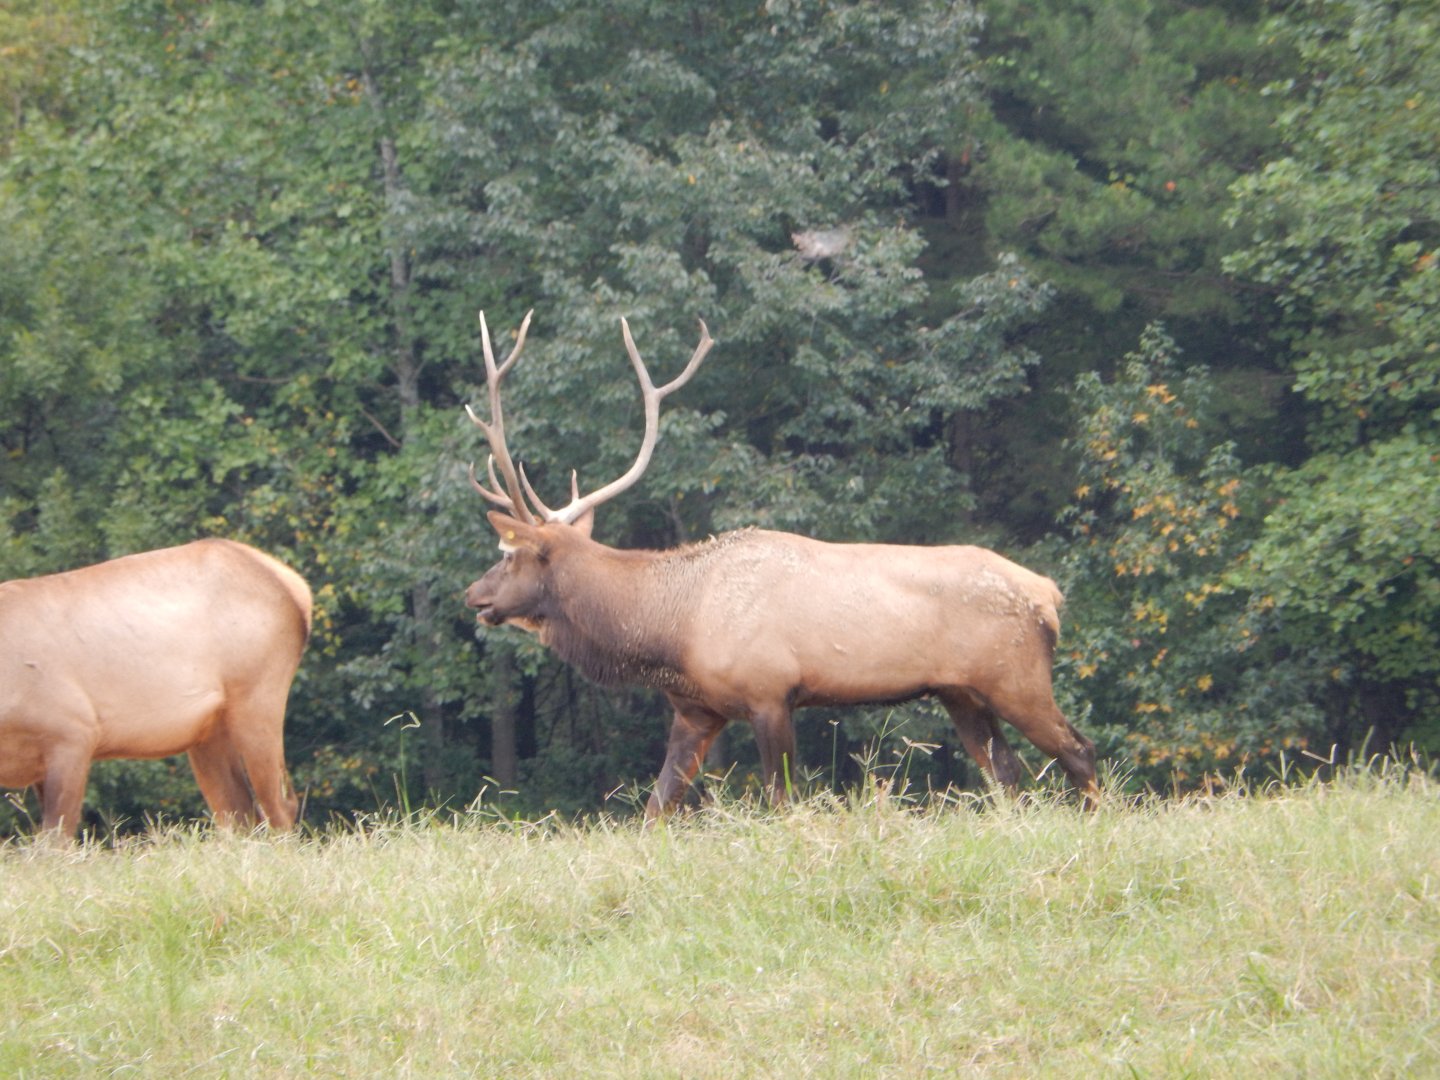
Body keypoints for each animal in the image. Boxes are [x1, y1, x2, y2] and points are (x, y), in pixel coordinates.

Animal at [0, 539, 310, 837]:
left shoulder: (73, 733)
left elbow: (56, 838)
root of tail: (299, 590)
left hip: (257, 696)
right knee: (238, 811)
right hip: (208, 731)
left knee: (280, 804)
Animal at [463, 311, 1100, 818]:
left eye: (510, 555)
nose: (473, 595)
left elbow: (781, 800)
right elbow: (656, 806)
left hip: (1015, 678)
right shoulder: (697, 711)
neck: (672, 630)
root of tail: (1050, 594)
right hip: (960, 692)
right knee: (1008, 774)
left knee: (1079, 751)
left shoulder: (770, 691)